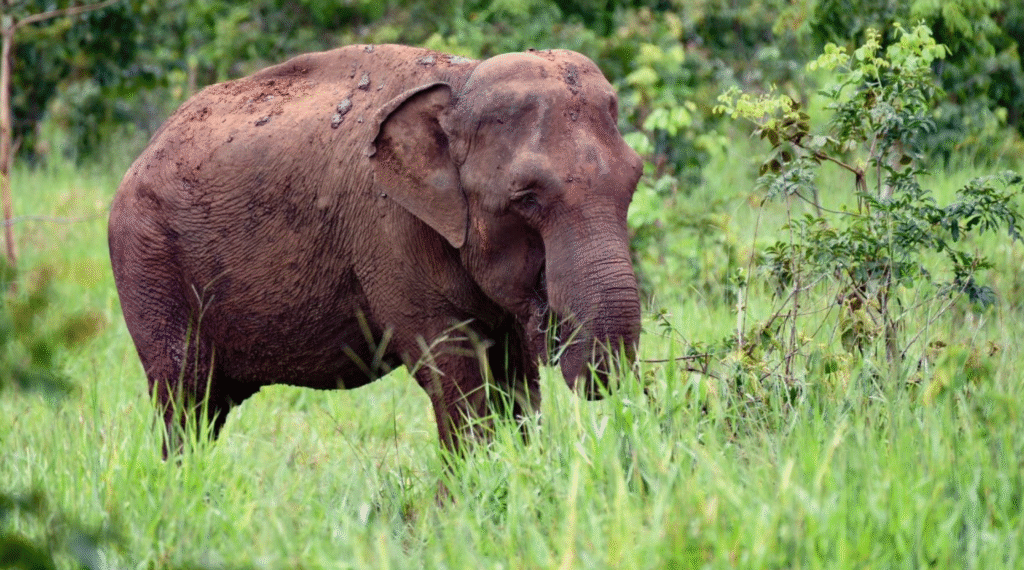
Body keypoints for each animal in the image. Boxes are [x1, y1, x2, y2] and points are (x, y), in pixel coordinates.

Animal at [108, 44, 643, 460]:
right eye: (526, 198)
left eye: (634, 180)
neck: (461, 81)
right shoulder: (388, 231)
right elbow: (451, 369)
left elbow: (516, 376)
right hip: (148, 259)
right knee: (186, 398)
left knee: (208, 410)